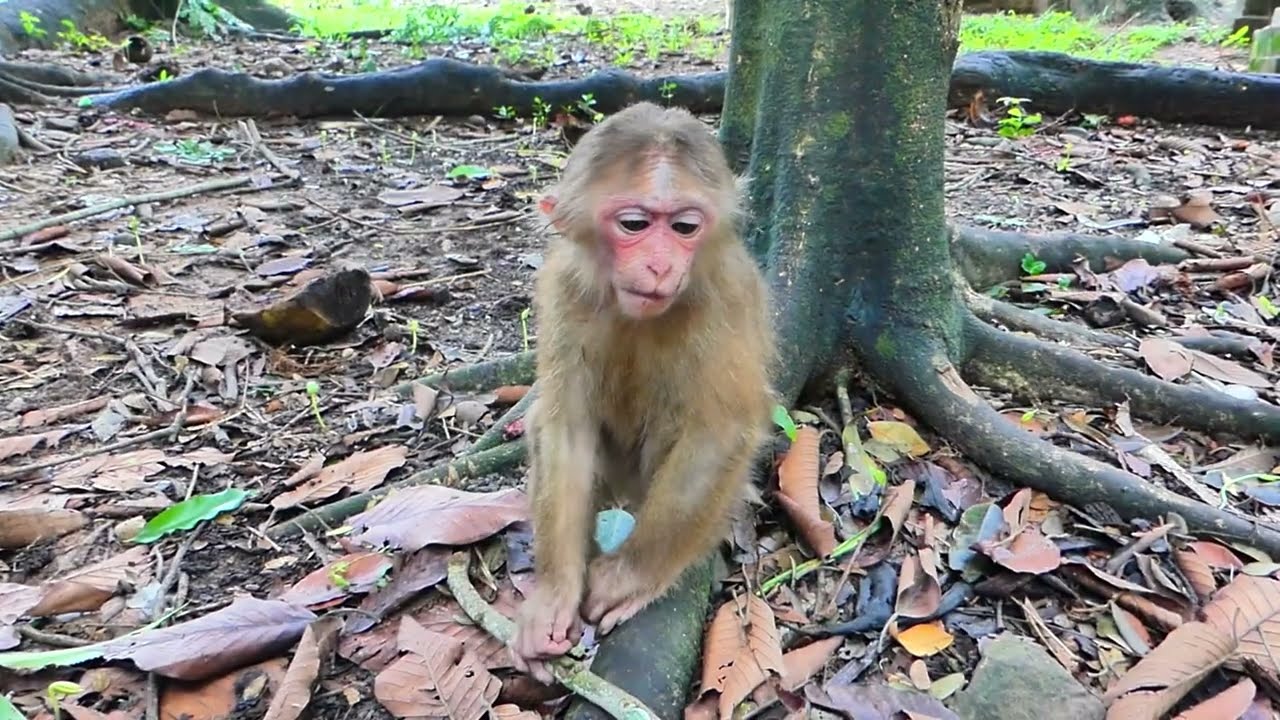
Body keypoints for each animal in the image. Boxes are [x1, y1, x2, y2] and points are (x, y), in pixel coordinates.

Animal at [509, 101, 777, 683]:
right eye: (634, 225)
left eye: (684, 227)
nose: (660, 263)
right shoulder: (563, 286)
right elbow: (566, 427)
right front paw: (555, 594)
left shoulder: (728, 292)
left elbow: (719, 430)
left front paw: (630, 577)